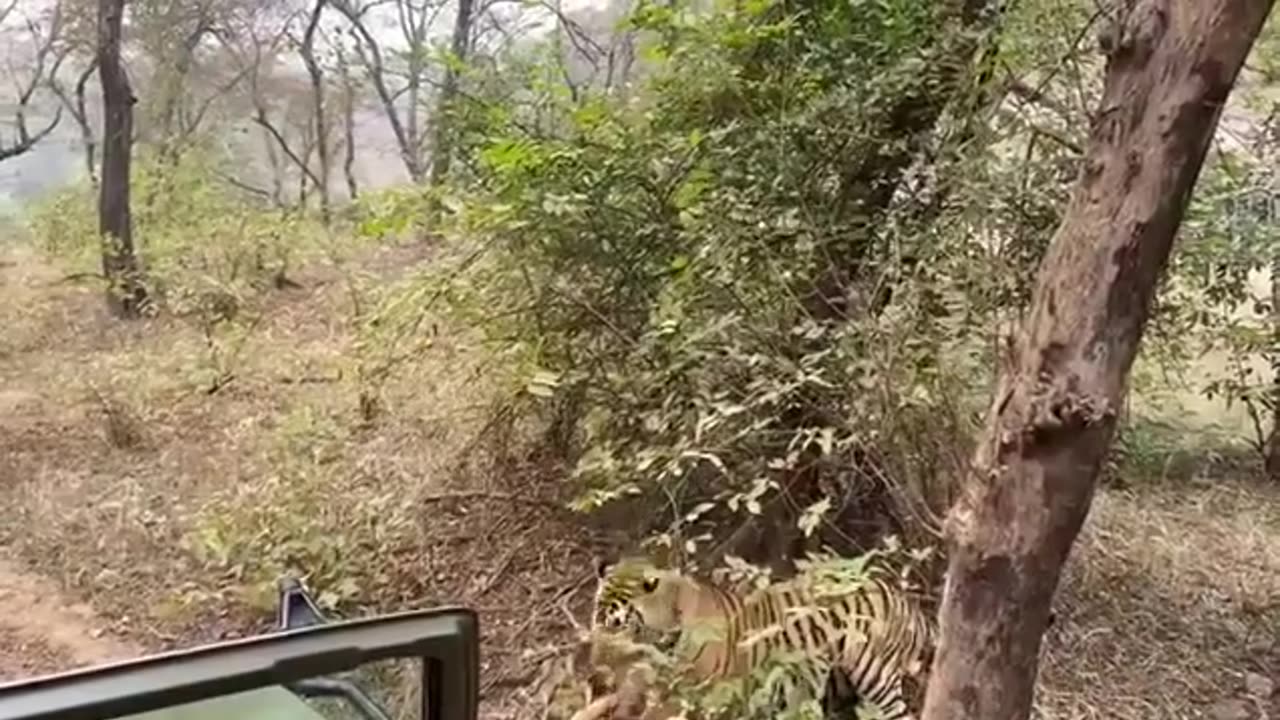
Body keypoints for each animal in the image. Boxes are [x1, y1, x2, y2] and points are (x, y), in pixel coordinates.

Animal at [590, 556, 936, 720]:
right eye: (597, 618)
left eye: (617, 624)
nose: (594, 659)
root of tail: (902, 597)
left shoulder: (701, 697)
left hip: (875, 676)